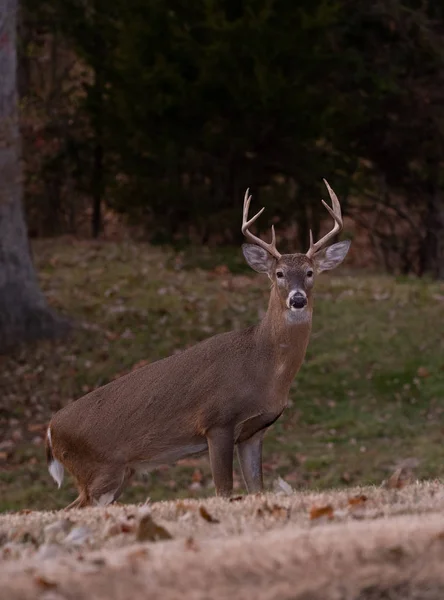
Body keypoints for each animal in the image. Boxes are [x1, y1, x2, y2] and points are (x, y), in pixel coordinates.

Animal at [46, 179, 350, 506]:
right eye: (279, 273)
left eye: (310, 272)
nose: (297, 299)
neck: (265, 368)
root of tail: (50, 430)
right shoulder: (216, 421)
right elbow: (224, 490)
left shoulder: (254, 431)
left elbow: (256, 488)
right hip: (100, 469)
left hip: (119, 472)